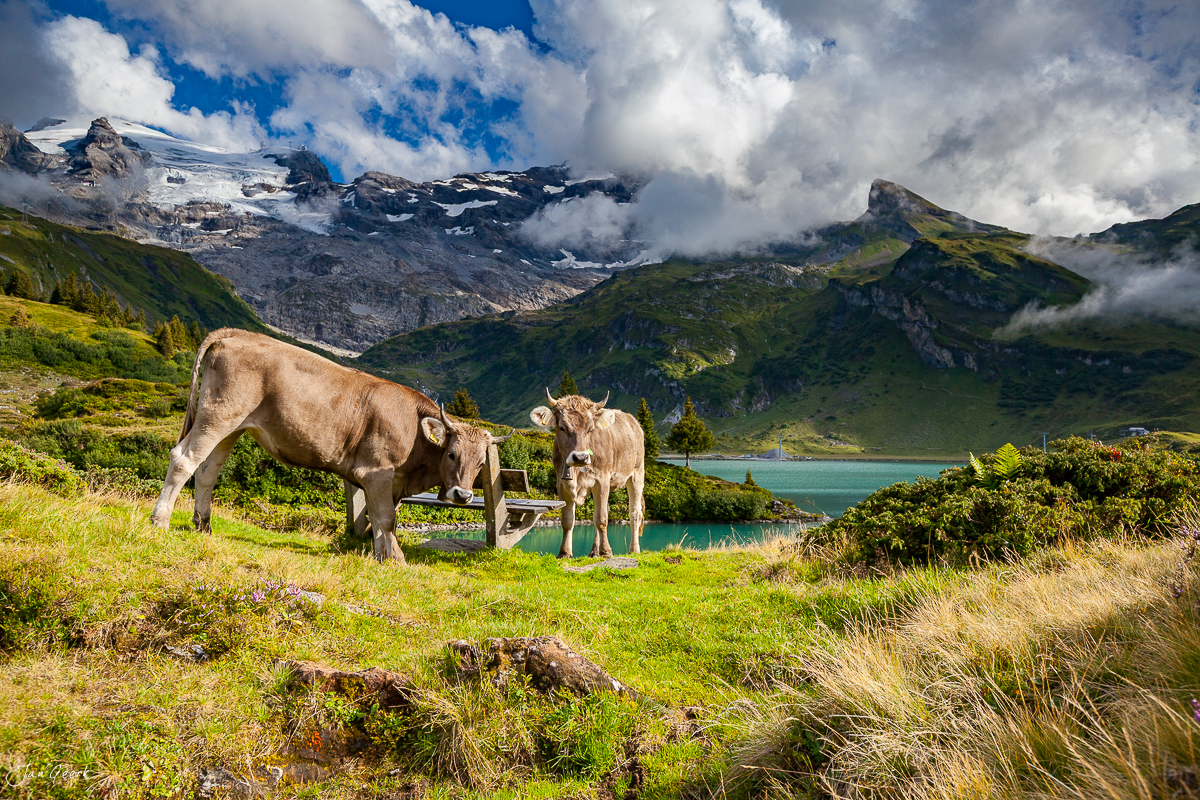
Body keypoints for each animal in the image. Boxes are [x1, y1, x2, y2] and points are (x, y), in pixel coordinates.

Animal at [150, 328, 508, 564]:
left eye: (481, 464)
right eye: (451, 453)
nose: (463, 495)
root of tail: (236, 334)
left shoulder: (387, 482)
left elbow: (381, 520)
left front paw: (388, 557)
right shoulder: (376, 472)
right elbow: (385, 520)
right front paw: (391, 560)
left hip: (232, 425)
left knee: (207, 471)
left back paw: (203, 526)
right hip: (218, 414)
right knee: (183, 459)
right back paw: (160, 521)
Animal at [530, 390, 645, 559]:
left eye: (591, 429)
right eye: (562, 428)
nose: (580, 457)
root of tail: (633, 421)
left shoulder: (602, 480)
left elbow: (601, 519)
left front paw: (606, 552)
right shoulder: (562, 484)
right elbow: (568, 520)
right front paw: (564, 552)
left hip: (637, 473)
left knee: (634, 513)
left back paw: (634, 549)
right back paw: (594, 551)